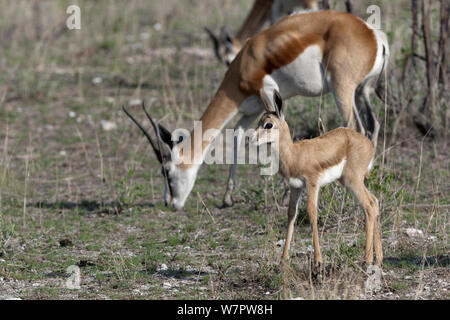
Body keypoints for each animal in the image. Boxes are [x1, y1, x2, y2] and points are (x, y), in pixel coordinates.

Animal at [125, 10, 388, 210]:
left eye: (167, 171)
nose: (169, 203)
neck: (246, 63)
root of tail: (374, 35)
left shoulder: (268, 94)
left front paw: (286, 193)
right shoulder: (249, 110)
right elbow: (237, 137)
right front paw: (227, 199)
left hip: (342, 89)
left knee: (356, 127)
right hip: (361, 91)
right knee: (372, 126)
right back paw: (366, 174)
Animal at [251, 89, 382, 266]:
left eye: (268, 124)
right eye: (259, 121)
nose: (251, 139)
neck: (294, 155)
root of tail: (369, 145)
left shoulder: (312, 183)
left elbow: (312, 213)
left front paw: (318, 260)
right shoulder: (296, 186)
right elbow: (291, 214)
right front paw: (283, 258)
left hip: (352, 181)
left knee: (368, 205)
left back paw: (367, 260)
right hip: (349, 181)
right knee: (374, 201)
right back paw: (378, 258)